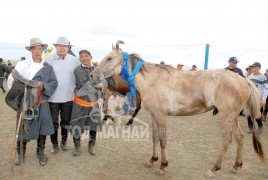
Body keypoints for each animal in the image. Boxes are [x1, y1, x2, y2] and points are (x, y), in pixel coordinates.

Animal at [92, 40, 266, 176]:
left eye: (109, 58)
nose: (93, 75)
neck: (152, 80)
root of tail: (244, 80)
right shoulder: (154, 115)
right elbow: (155, 138)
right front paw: (152, 160)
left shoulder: (161, 115)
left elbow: (163, 140)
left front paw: (163, 166)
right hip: (233, 117)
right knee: (240, 137)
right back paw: (236, 165)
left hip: (225, 116)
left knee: (227, 140)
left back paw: (214, 168)